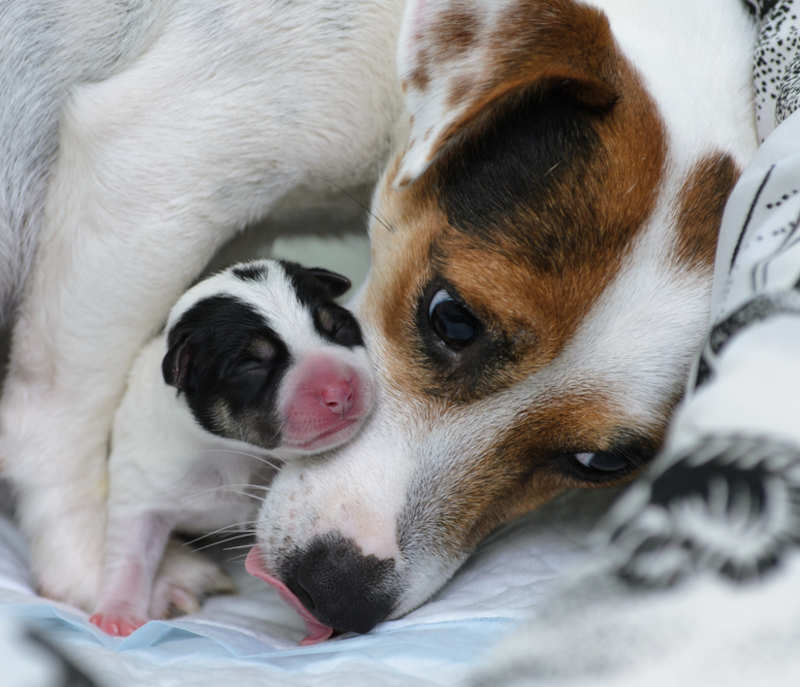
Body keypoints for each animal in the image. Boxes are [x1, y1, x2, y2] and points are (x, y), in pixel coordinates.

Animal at [89, 260, 374, 636]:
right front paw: (117, 613)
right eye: (251, 364)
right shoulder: (142, 483)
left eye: (339, 326)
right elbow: (131, 550)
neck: (234, 450)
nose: (341, 391)